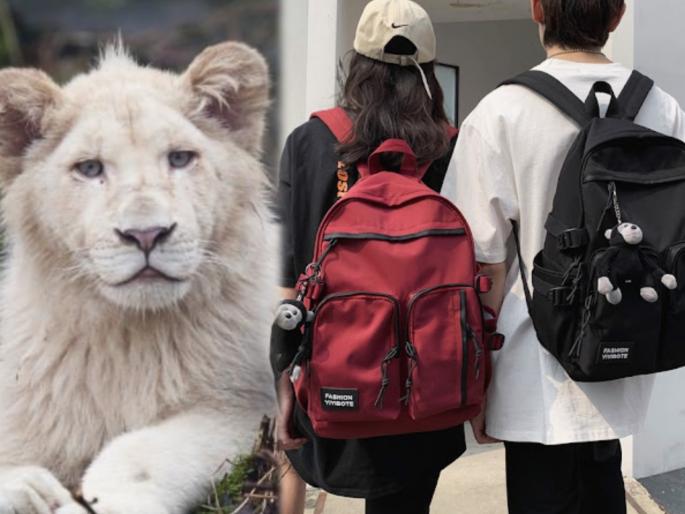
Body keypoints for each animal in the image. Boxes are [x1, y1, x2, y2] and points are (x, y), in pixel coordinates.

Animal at [0, 41, 278, 514]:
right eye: (90, 168)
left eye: (180, 159)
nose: (146, 234)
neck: (129, 336)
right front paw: (30, 490)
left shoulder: (244, 406)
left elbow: (141, 450)